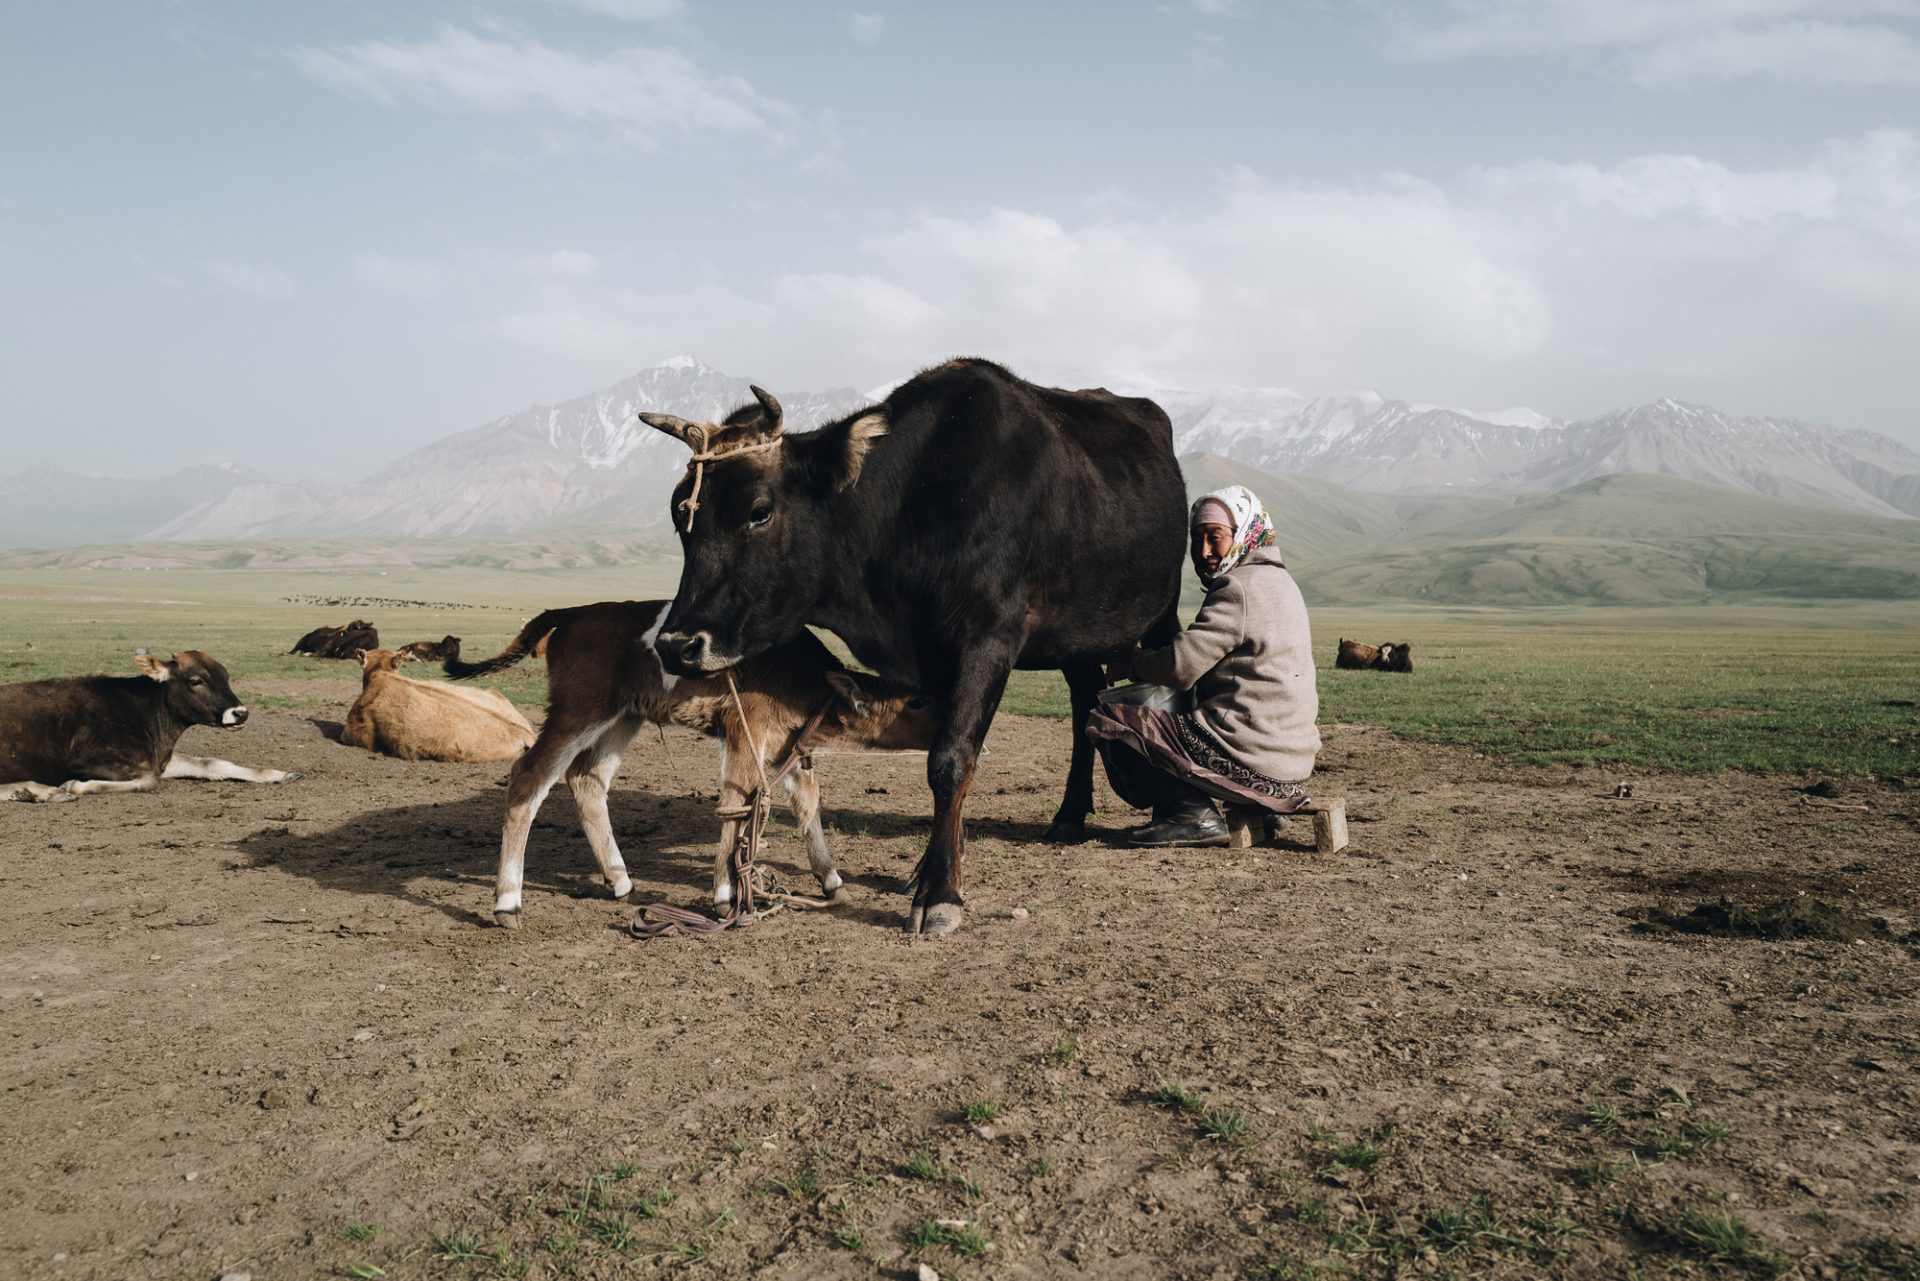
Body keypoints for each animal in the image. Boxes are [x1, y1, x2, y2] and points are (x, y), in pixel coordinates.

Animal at [0, 652, 299, 802]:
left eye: (225, 676)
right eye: (196, 680)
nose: (240, 713)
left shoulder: (156, 758)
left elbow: (212, 763)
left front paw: (280, 774)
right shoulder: (86, 759)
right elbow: (149, 780)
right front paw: (75, 786)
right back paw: (43, 791)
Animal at [441, 603, 936, 933]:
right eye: (915, 702)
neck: (801, 679)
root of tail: (572, 613)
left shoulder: (781, 746)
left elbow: (804, 799)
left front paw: (831, 880)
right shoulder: (745, 729)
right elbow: (737, 801)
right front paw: (725, 895)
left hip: (624, 716)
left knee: (587, 779)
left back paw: (619, 880)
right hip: (579, 709)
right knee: (530, 775)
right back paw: (508, 902)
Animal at [645, 355, 1182, 937]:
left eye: (759, 511)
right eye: (680, 516)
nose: (676, 645)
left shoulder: (987, 638)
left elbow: (950, 758)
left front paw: (940, 894)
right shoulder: (930, 656)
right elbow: (940, 749)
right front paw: (929, 869)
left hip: (1164, 610)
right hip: (1074, 640)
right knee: (1085, 705)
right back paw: (1068, 816)